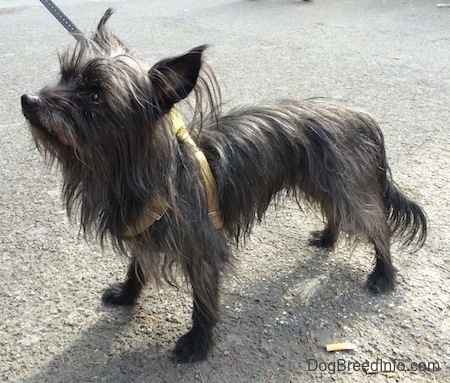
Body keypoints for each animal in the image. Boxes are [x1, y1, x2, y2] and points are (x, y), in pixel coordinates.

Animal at [22, 8, 428, 364]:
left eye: (95, 96)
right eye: (64, 76)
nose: (28, 99)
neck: (136, 169)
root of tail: (362, 117)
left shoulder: (201, 249)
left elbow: (203, 300)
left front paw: (197, 342)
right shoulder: (146, 234)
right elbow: (137, 267)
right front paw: (126, 295)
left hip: (346, 187)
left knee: (377, 225)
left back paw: (383, 274)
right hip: (322, 183)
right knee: (336, 213)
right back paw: (328, 238)